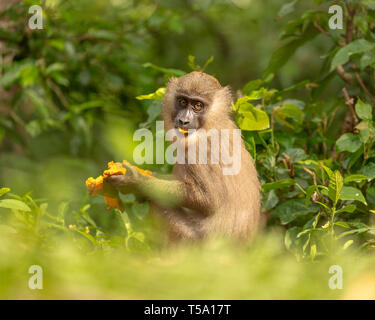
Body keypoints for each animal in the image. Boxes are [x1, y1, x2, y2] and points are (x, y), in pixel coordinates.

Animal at [106, 72, 262, 242]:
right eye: (182, 102)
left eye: (198, 106)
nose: (183, 120)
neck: (211, 123)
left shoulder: (198, 149)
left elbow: (207, 200)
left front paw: (134, 182)